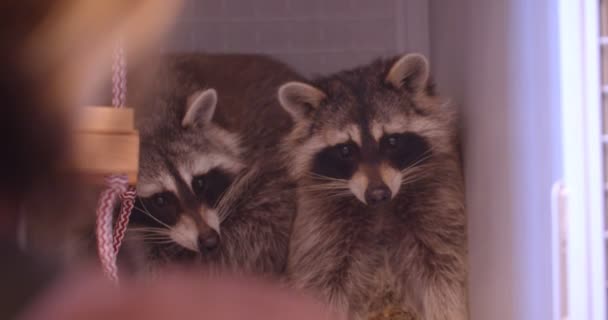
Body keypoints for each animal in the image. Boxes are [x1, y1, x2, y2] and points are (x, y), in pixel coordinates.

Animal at [278, 53, 468, 318]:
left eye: (392, 141)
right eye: (345, 150)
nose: (378, 194)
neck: (379, 210)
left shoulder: (437, 210)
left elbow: (443, 274)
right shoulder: (321, 232)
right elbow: (322, 283)